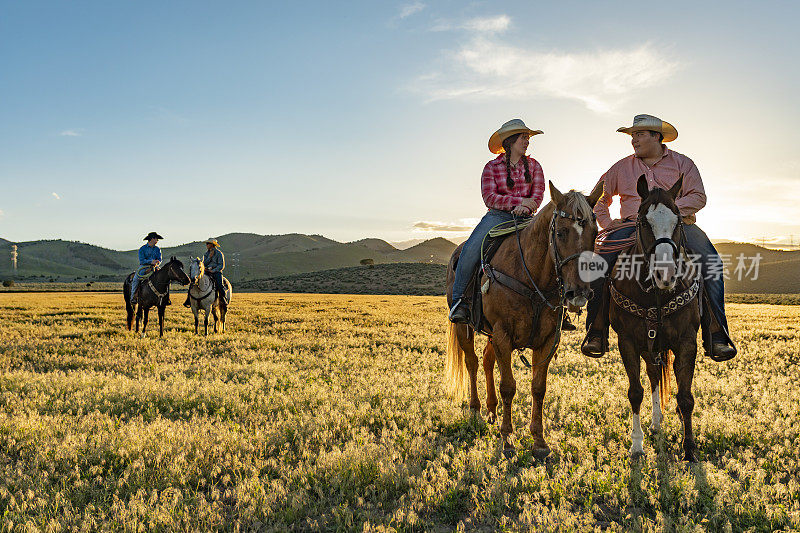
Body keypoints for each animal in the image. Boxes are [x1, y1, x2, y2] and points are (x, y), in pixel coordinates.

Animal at [444, 181, 600, 456]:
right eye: (561, 233)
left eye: (595, 232)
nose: (579, 293)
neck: (532, 275)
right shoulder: (503, 335)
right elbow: (508, 386)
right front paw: (507, 439)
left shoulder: (548, 340)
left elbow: (539, 388)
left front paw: (539, 441)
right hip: (466, 328)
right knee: (472, 363)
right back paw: (475, 410)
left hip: (490, 333)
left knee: (486, 361)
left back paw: (492, 410)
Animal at [608, 176, 704, 462]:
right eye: (642, 221)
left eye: (678, 221)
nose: (666, 275)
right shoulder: (627, 342)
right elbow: (635, 392)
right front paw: (636, 445)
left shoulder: (687, 343)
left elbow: (685, 397)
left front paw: (689, 447)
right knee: (652, 377)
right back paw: (655, 421)